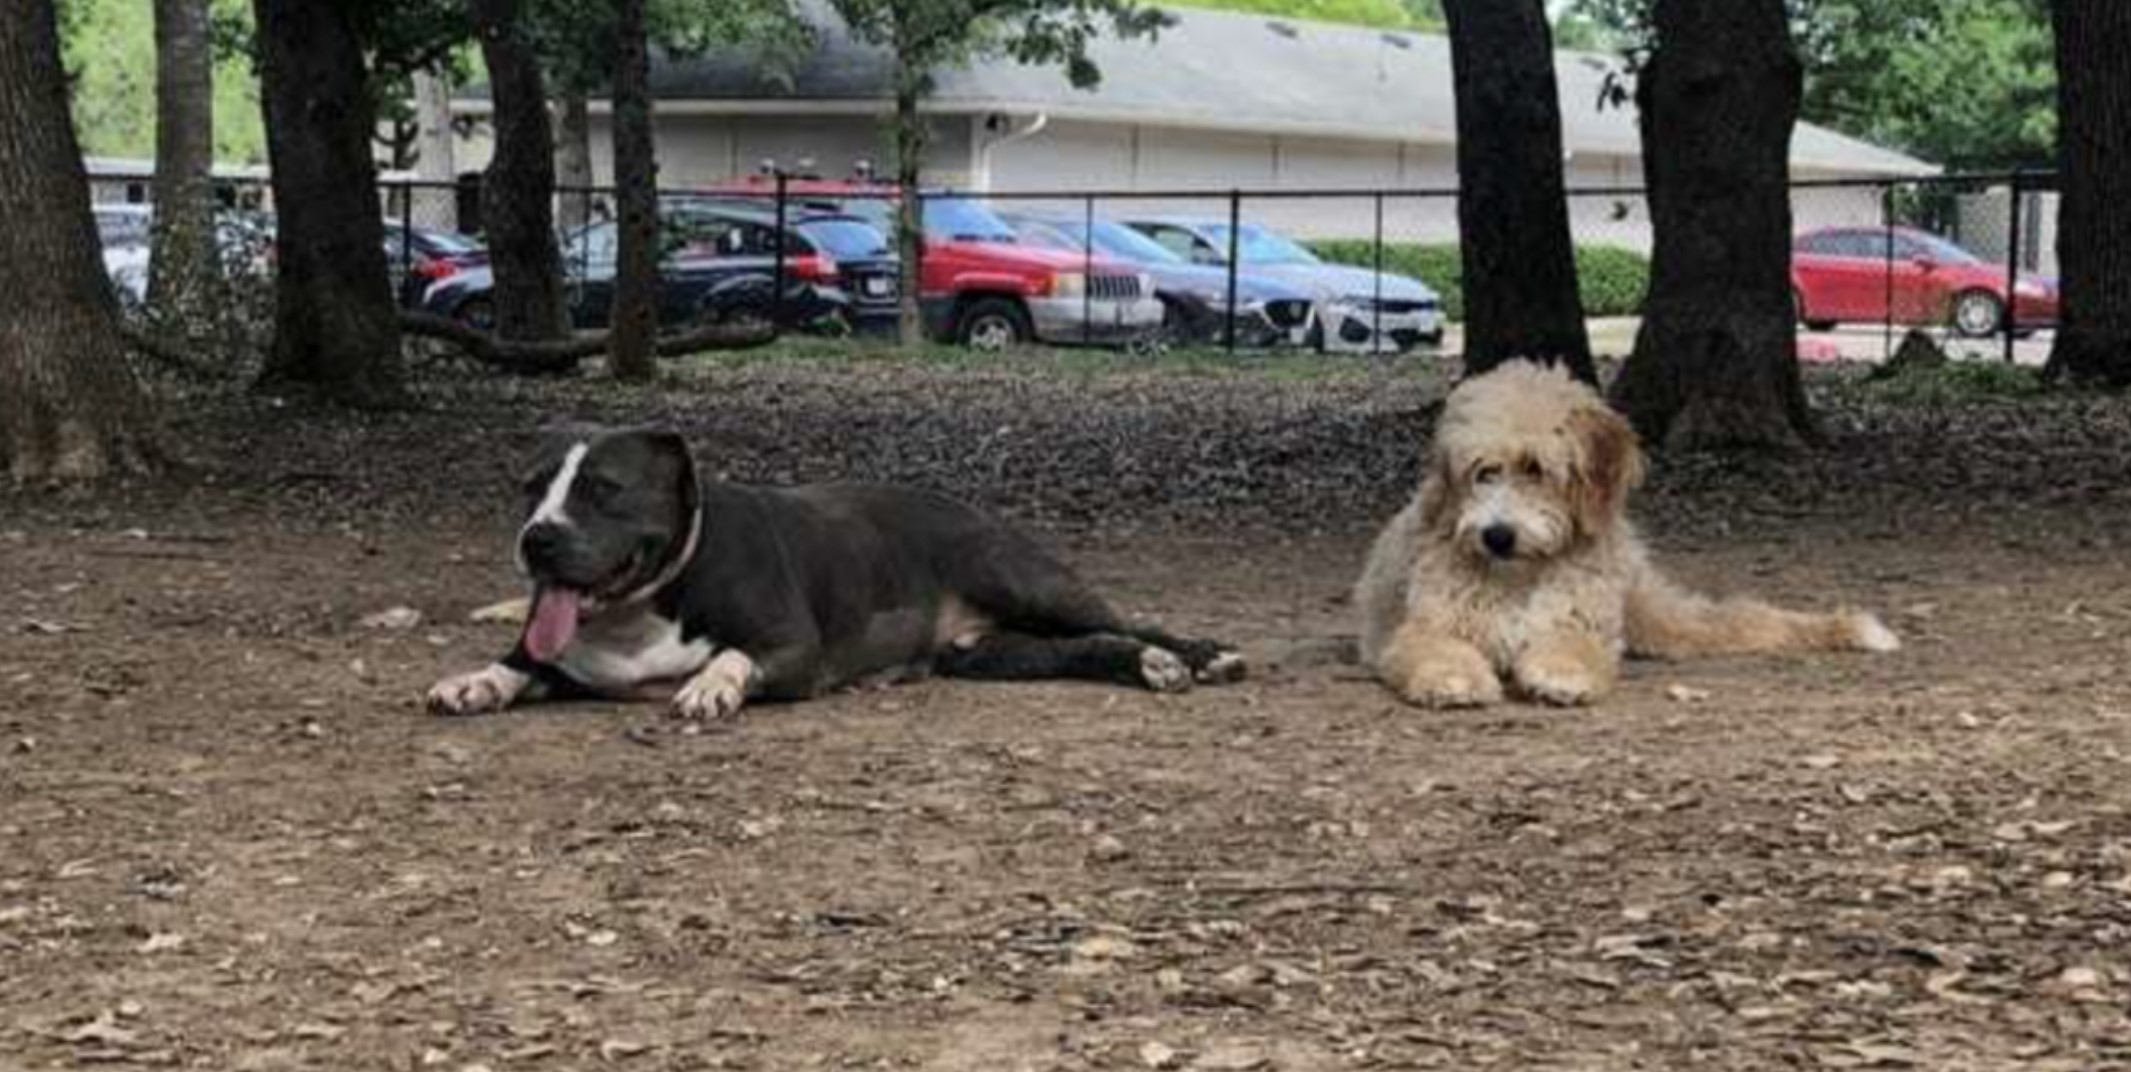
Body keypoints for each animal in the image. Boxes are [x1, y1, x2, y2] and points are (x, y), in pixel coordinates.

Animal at [421, 428, 1244, 720]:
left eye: (604, 488)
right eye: (532, 489)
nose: (536, 540)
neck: (646, 606)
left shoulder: (793, 649)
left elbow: (733, 654)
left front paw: (712, 686)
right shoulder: (561, 658)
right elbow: (517, 664)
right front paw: (474, 680)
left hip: (1023, 580)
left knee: (1127, 622)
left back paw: (1199, 654)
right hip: (995, 653)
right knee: (1092, 646)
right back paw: (1150, 666)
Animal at [1346, 362, 1900, 711]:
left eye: (1536, 468)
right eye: (1483, 472)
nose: (1497, 536)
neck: (1523, 575)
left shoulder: (1582, 621)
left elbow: (1572, 646)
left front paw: (1561, 677)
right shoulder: (1429, 624)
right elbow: (1436, 648)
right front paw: (1454, 679)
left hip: (1653, 611)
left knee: (1740, 620)